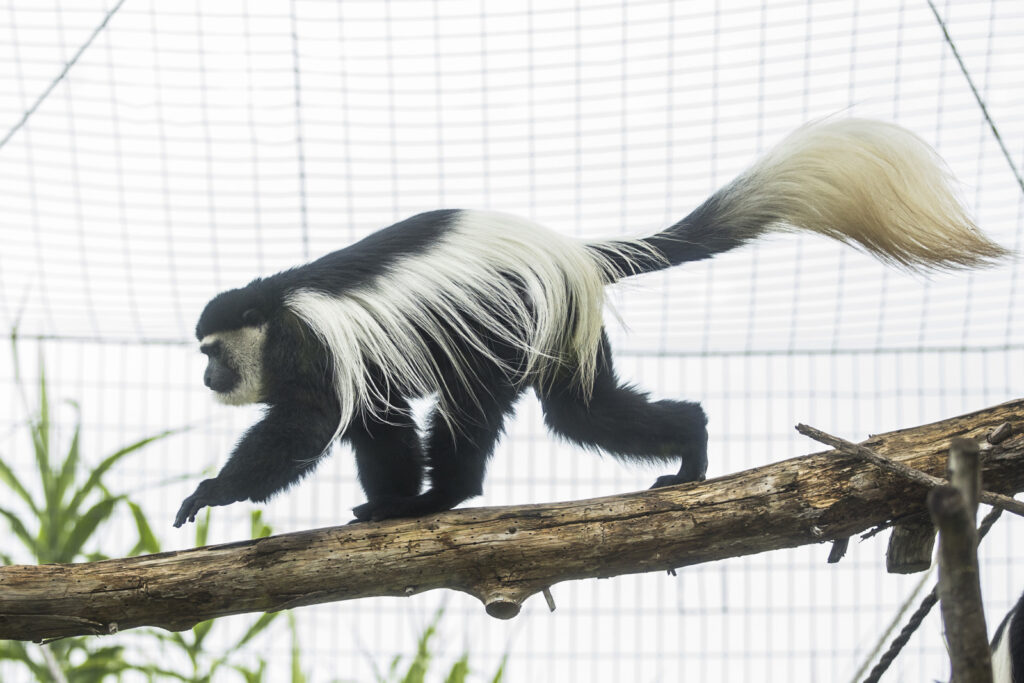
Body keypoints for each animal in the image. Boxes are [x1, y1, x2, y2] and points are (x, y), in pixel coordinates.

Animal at [173, 118, 1007, 527]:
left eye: (212, 351)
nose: (209, 374)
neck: (274, 312)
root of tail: (571, 250)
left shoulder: (312, 348)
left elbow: (310, 428)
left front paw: (210, 492)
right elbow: (378, 429)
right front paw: (384, 505)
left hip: (504, 322)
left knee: (491, 413)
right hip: (558, 336)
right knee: (583, 409)